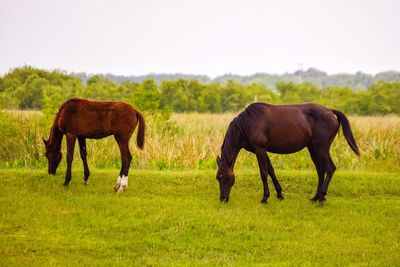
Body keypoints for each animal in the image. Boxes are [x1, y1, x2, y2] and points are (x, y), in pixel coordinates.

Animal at [217, 102, 360, 205]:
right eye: (218, 178)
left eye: (223, 177)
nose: (222, 199)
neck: (249, 123)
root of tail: (330, 111)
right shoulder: (261, 150)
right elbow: (271, 170)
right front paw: (279, 194)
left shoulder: (260, 150)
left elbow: (264, 173)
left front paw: (265, 198)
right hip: (313, 149)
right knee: (321, 171)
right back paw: (315, 197)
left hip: (322, 148)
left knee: (330, 168)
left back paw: (322, 197)